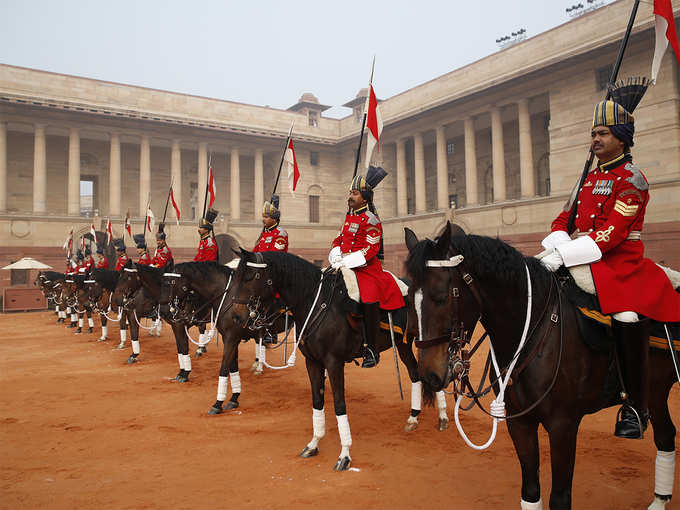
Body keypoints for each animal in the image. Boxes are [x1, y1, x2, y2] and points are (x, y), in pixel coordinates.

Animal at [228, 250, 472, 470]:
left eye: (251, 277)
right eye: (237, 277)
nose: (237, 316)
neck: (316, 303)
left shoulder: (333, 362)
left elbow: (339, 404)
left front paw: (344, 454)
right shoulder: (313, 362)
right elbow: (317, 401)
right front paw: (314, 443)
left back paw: (442, 416)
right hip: (404, 344)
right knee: (416, 374)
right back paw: (413, 417)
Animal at [406, 223, 676, 510]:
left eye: (440, 296)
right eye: (409, 298)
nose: (429, 375)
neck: (532, 333)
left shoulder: (563, 426)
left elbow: (559, 498)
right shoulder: (520, 422)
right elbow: (531, 492)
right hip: (656, 390)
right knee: (666, 435)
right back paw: (659, 500)